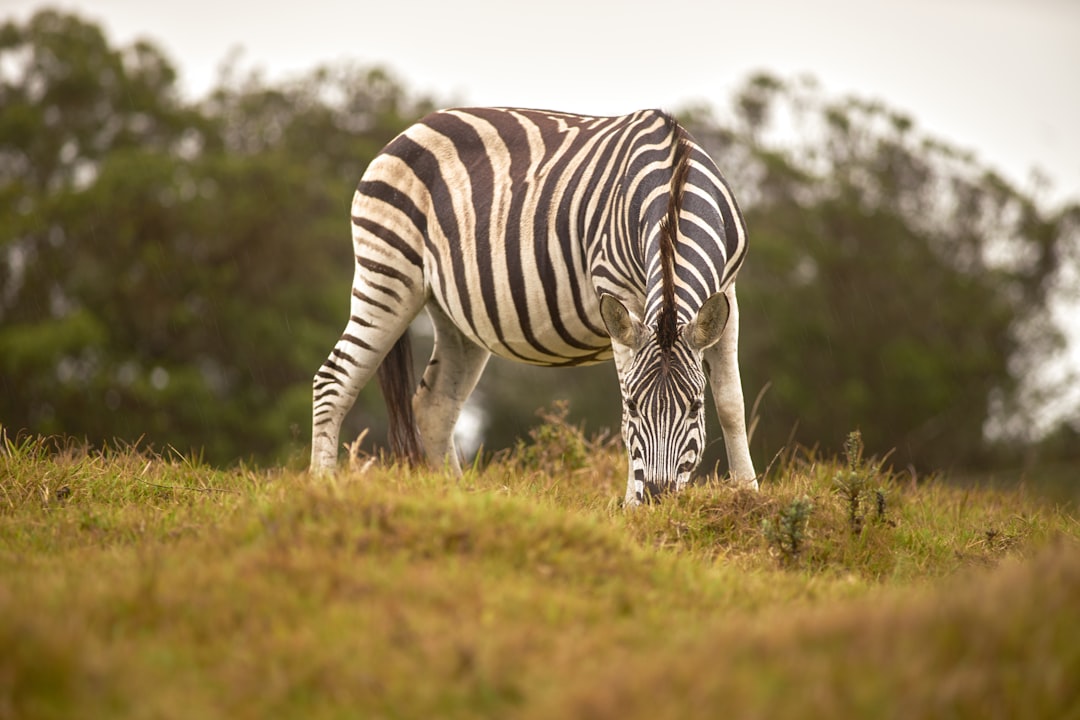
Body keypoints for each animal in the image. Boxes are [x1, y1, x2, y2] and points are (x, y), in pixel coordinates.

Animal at [308, 106, 756, 505]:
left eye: (695, 407)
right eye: (633, 406)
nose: (659, 500)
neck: (674, 185)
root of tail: (410, 130)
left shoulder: (728, 292)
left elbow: (731, 402)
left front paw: (748, 494)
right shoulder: (618, 291)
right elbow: (630, 395)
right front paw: (631, 504)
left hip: (456, 315)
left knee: (434, 405)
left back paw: (455, 498)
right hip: (388, 273)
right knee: (334, 380)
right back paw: (322, 486)